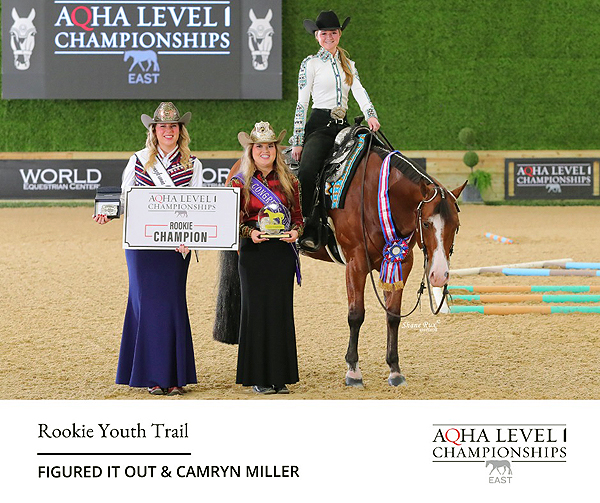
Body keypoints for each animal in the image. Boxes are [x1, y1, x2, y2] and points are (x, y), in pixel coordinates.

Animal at [213, 133, 466, 388]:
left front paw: (394, 370)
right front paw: (353, 371)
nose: (439, 275)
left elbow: (393, 315)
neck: (377, 194)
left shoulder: (400, 263)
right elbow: (356, 315)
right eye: (426, 223)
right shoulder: (356, 263)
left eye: (456, 226)